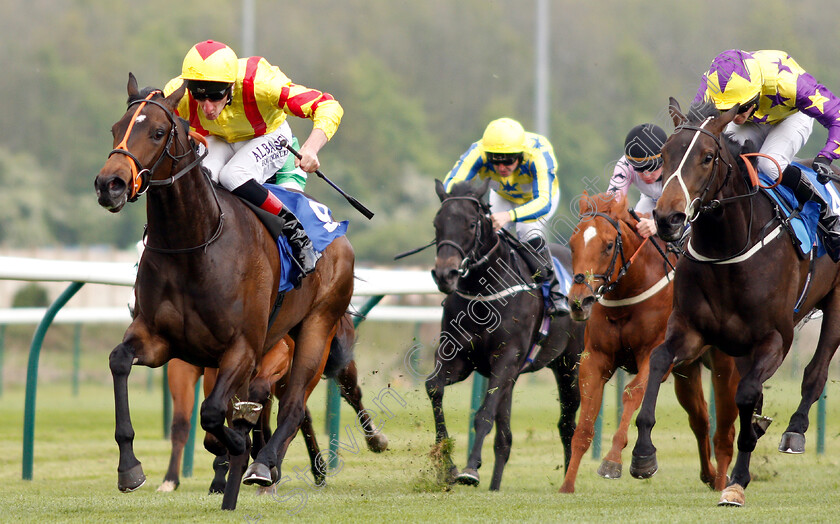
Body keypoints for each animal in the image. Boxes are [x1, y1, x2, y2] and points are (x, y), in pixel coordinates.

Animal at [95, 73, 354, 508]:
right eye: (116, 128)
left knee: (294, 405)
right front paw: (129, 467)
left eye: (158, 132)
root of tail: (336, 228)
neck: (194, 245)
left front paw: (237, 447)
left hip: (318, 328)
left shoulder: (243, 349)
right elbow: (119, 361)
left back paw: (265, 464)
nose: (109, 184)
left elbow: (215, 414)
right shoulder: (159, 339)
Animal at [158, 314, 388, 494]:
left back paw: (374, 438)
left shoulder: (277, 353)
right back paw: (315, 470)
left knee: (349, 394)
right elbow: (191, 428)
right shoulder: (192, 367)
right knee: (300, 415)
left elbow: (257, 399)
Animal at [430, 179, 580, 492]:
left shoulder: (506, 358)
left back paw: (567, 481)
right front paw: (448, 465)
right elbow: (434, 388)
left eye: (471, 223)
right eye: (437, 223)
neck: (482, 295)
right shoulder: (460, 358)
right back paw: (495, 485)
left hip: (570, 365)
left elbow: (484, 415)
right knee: (505, 438)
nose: (445, 274)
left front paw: (470, 470)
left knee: (567, 425)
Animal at [560, 190, 740, 494]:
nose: (579, 302)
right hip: (686, 371)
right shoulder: (595, 359)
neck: (628, 295)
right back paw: (710, 474)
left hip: (725, 364)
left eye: (609, 245)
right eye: (572, 245)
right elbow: (585, 422)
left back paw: (722, 481)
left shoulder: (654, 356)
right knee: (700, 419)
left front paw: (612, 461)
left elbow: (631, 394)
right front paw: (567, 485)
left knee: (725, 425)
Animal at [632, 98, 840, 508]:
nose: (667, 218)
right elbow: (660, 361)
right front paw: (643, 454)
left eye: (708, 157)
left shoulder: (775, 339)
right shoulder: (691, 331)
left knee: (816, 369)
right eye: (664, 155)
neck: (726, 249)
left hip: (837, 303)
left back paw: (795, 430)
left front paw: (737, 482)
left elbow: (746, 396)